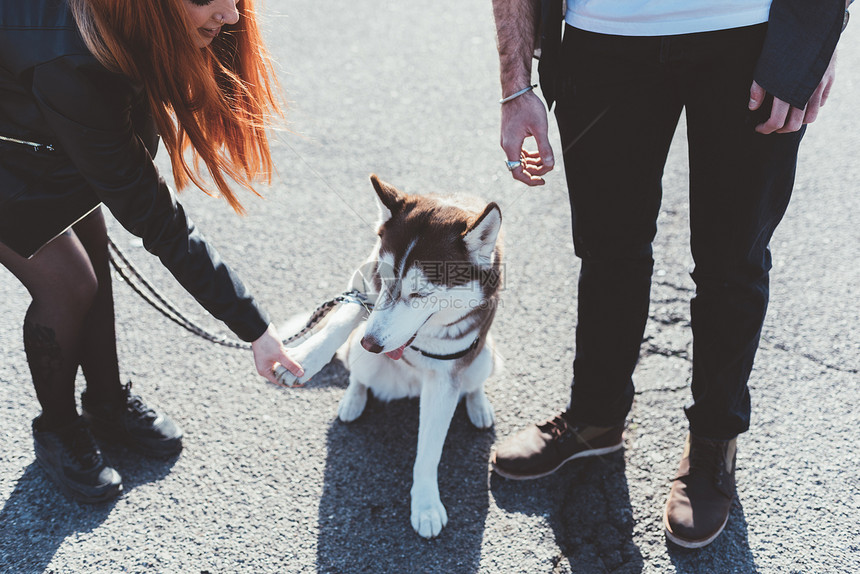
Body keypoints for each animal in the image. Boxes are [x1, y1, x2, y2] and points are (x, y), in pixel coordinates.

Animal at [278, 174, 500, 540]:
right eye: (384, 278)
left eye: (420, 294)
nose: (371, 342)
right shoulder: (363, 282)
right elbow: (344, 315)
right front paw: (307, 357)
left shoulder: (444, 378)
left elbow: (429, 451)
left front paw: (425, 504)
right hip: (361, 356)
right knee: (358, 374)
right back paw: (353, 399)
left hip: (486, 357)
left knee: (473, 380)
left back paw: (478, 405)